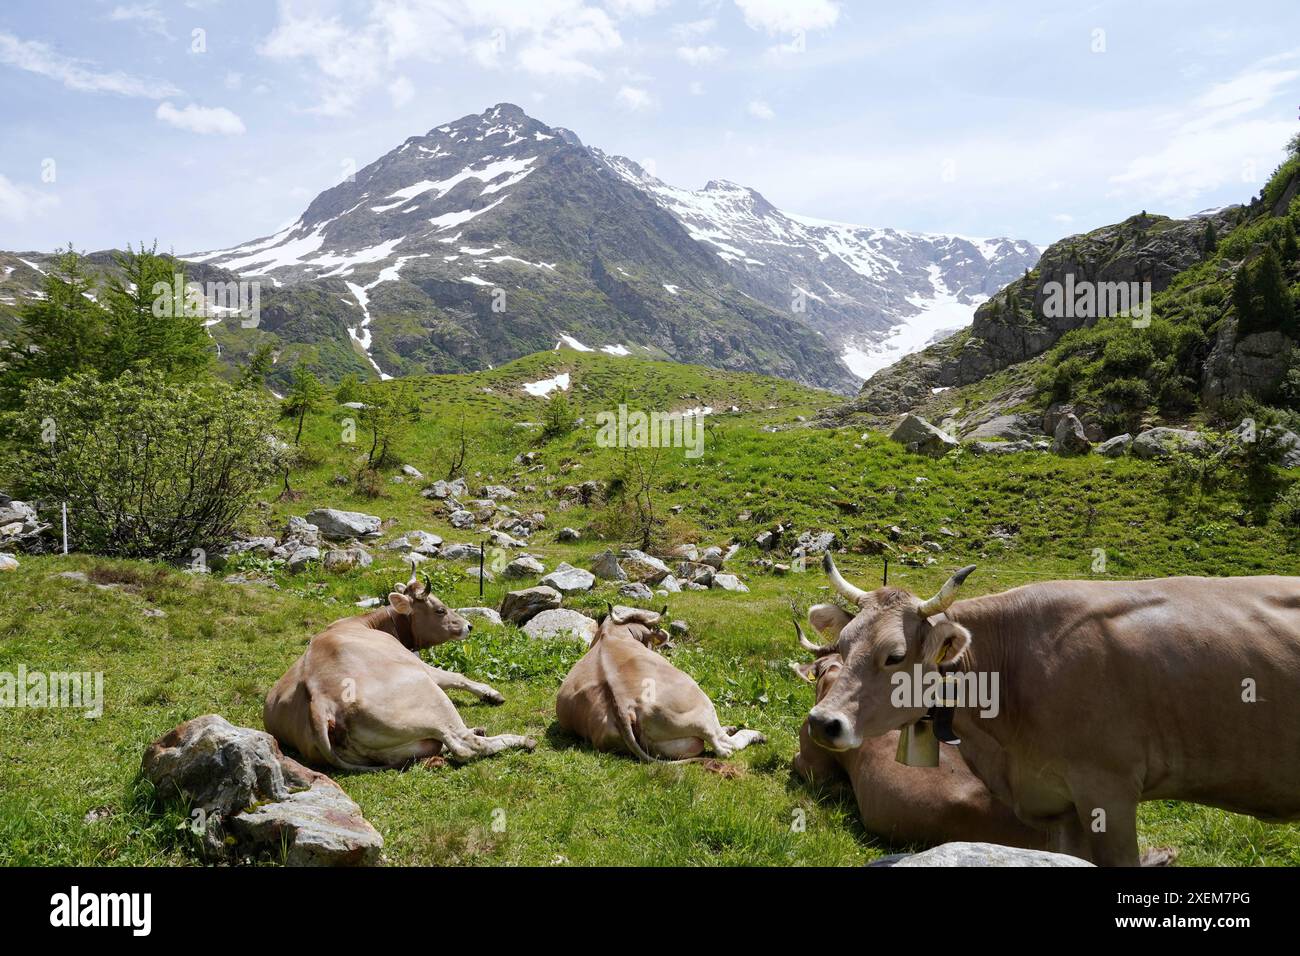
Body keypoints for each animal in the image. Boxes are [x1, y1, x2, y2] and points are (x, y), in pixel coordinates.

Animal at [264, 571, 535, 769]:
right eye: (440, 609)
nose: (469, 625)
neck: (364, 624)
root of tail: (320, 702)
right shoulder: (419, 664)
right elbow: (456, 677)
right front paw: (491, 693)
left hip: (392, 749)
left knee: (439, 744)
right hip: (430, 696)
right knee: (464, 745)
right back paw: (520, 739)